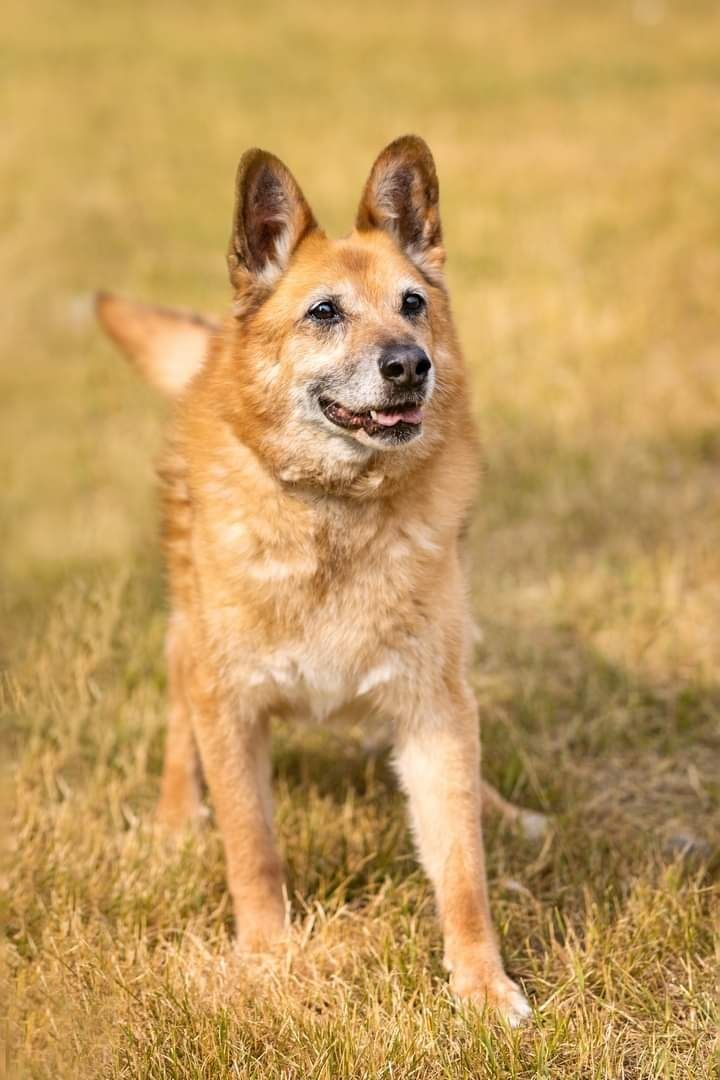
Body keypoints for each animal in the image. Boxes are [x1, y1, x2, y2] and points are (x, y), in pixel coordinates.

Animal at [94, 137, 535, 1028]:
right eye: (324, 312)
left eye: (412, 303)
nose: (410, 365)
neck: (337, 510)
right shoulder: (230, 704)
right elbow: (253, 849)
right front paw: (267, 958)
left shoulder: (433, 709)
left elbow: (462, 869)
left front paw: (481, 983)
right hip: (189, 638)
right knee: (176, 717)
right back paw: (174, 816)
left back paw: (503, 809)